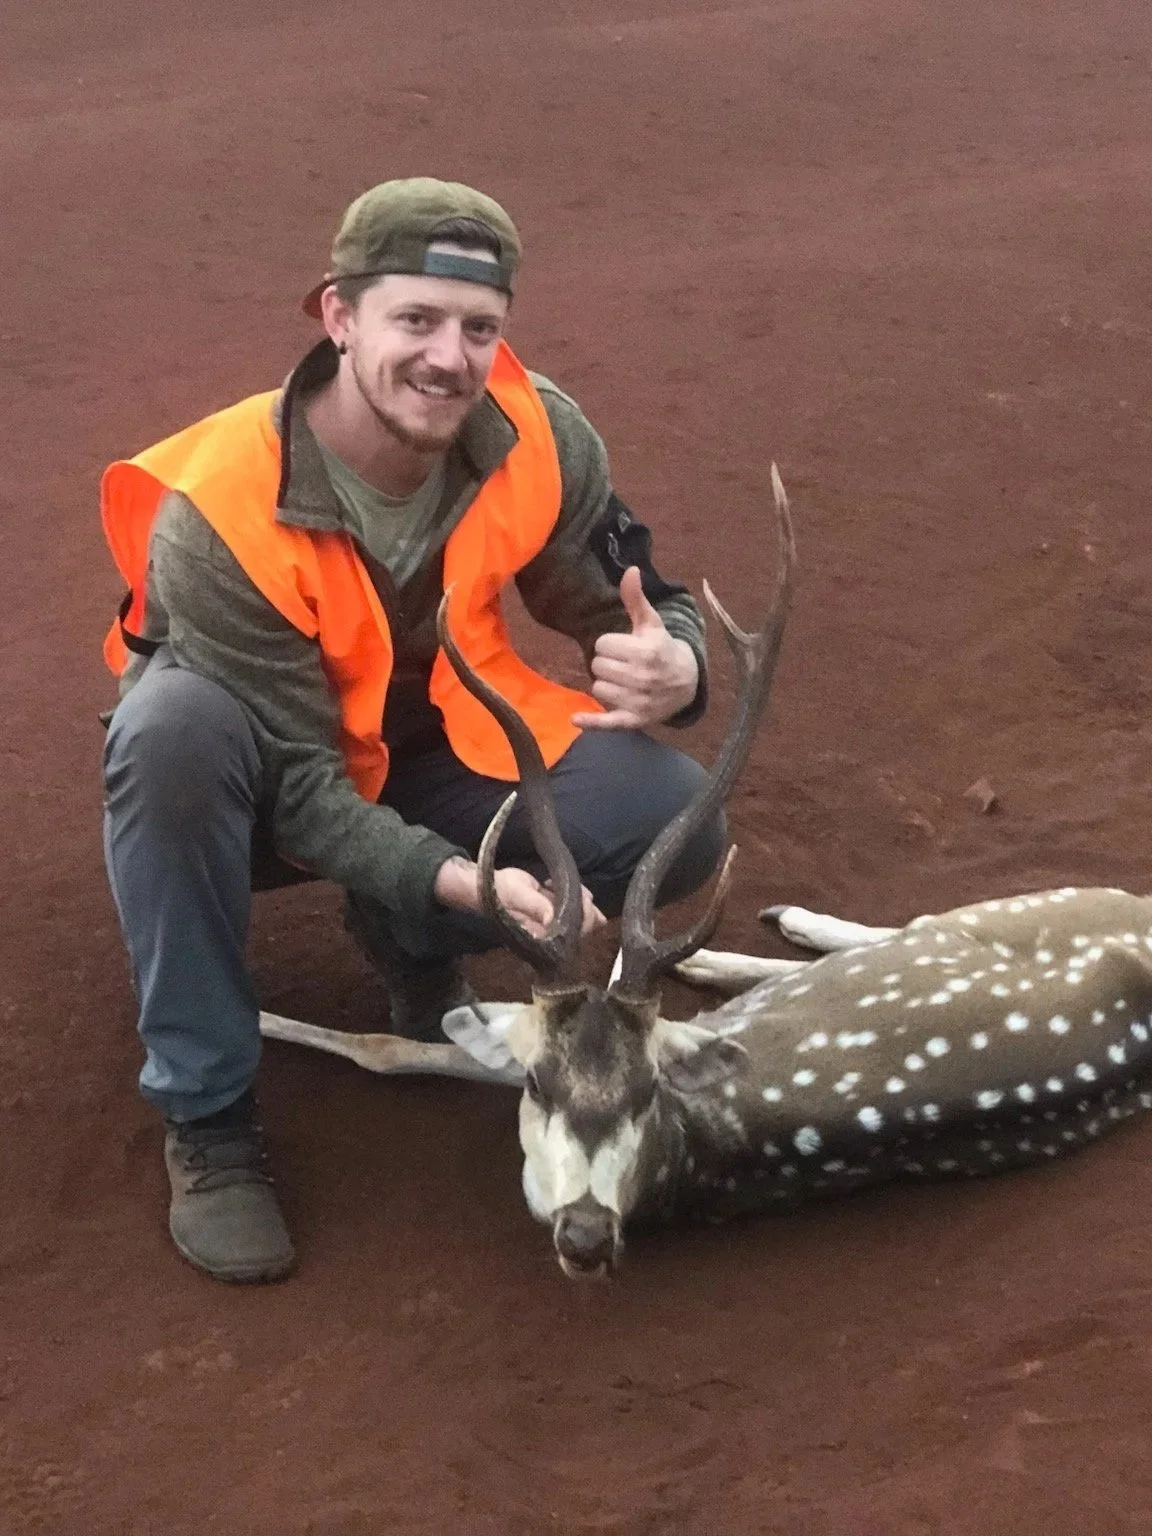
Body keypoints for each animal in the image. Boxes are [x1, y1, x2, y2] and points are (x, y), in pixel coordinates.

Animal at [259, 468, 1152, 1280]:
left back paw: (770, 933)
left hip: (1042, 904)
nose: (588, 1238)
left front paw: (261, 1023)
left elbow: (383, 1048)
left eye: (646, 1091)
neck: (690, 1160)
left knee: (910, 923)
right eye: (542, 1086)